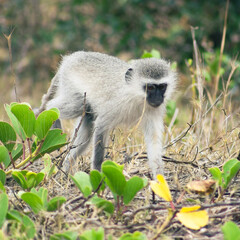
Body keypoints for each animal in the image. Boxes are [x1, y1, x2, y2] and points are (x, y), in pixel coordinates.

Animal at [37, 51, 176, 178]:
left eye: (162, 87)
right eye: (151, 87)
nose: (158, 99)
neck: (136, 97)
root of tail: (70, 58)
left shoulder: (154, 110)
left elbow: (153, 140)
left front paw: (160, 179)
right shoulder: (114, 104)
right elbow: (101, 126)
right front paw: (97, 173)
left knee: (87, 121)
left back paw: (66, 168)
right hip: (71, 83)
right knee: (74, 105)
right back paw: (50, 111)